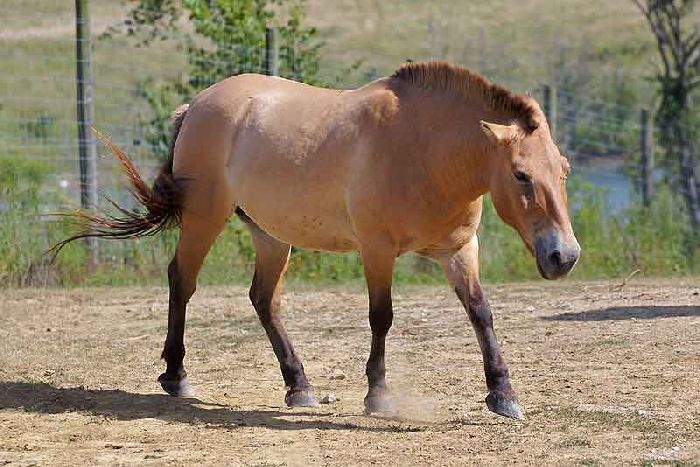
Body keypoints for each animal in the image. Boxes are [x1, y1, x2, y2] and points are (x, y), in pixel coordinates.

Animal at [53, 60, 580, 422]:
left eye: (564, 170)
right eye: (521, 175)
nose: (564, 256)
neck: (424, 149)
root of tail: (197, 105)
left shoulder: (459, 251)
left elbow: (481, 313)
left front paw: (503, 394)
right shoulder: (377, 249)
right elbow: (382, 318)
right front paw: (378, 395)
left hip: (269, 235)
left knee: (263, 300)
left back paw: (299, 385)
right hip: (205, 217)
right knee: (182, 281)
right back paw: (176, 377)